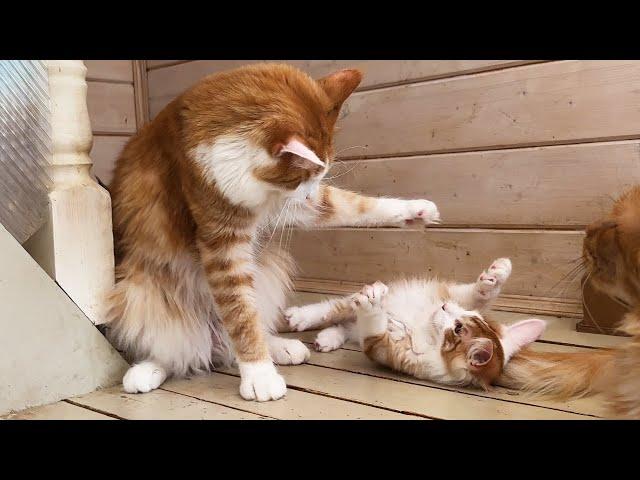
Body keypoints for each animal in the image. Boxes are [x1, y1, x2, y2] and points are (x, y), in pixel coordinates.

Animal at [107, 63, 442, 402]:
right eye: (304, 175)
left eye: (320, 174)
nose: (309, 194)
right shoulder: (222, 244)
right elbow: (241, 316)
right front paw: (259, 375)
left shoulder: (284, 204)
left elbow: (355, 206)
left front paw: (416, 211)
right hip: (141, 292)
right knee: (182, 349)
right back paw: (146, 371)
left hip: (267, 271)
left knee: (227, 341)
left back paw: (281, 347)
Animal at [284, 258, 544, 390]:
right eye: (464, 315)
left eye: (458, 328)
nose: (444, 307)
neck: (426, 328)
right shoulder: (453, 295)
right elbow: (477, 295)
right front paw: (496, 274)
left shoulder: (389, 352)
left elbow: (374, 331)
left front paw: (375, 310)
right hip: (354, 302)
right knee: (332, 309)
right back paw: (301, 316)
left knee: (346, 325)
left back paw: (327, 338)